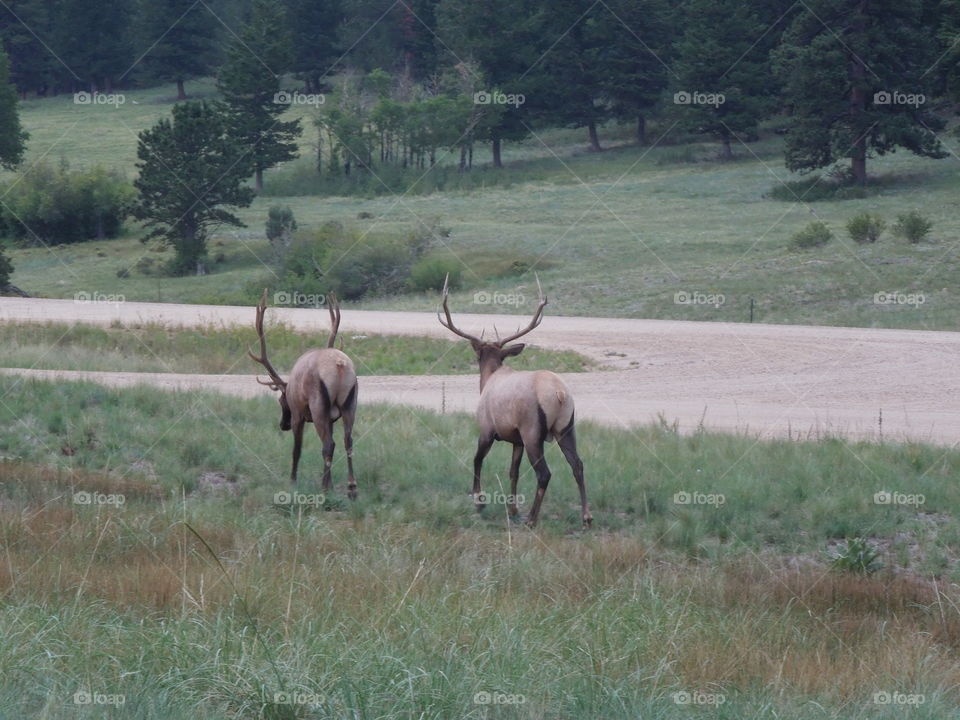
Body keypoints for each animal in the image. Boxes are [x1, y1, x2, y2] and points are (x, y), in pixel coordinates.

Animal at [249, 289, 359, 499]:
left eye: (281, 400)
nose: (282, 424)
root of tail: (340, 366)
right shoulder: (331, 418)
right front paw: (333, 485)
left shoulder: (298, 413)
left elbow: (296, 450)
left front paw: (292, 481)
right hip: (350, 402)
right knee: (347, 440)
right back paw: (351, 487)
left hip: (318, 405)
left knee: (328, 444)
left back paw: (324, 488)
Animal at [437, 276, 592, 528]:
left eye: (478, 355)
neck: (487, 381)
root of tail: (560, 394)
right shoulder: (515, 439)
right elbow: (513, 471)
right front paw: (512, 508)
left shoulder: (487, 429)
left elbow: (477, 459)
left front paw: (479, 501)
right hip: (566, 427)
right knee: (577, 465)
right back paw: (586, 516)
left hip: (532, 431)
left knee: (544, 473)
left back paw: (532, 519)